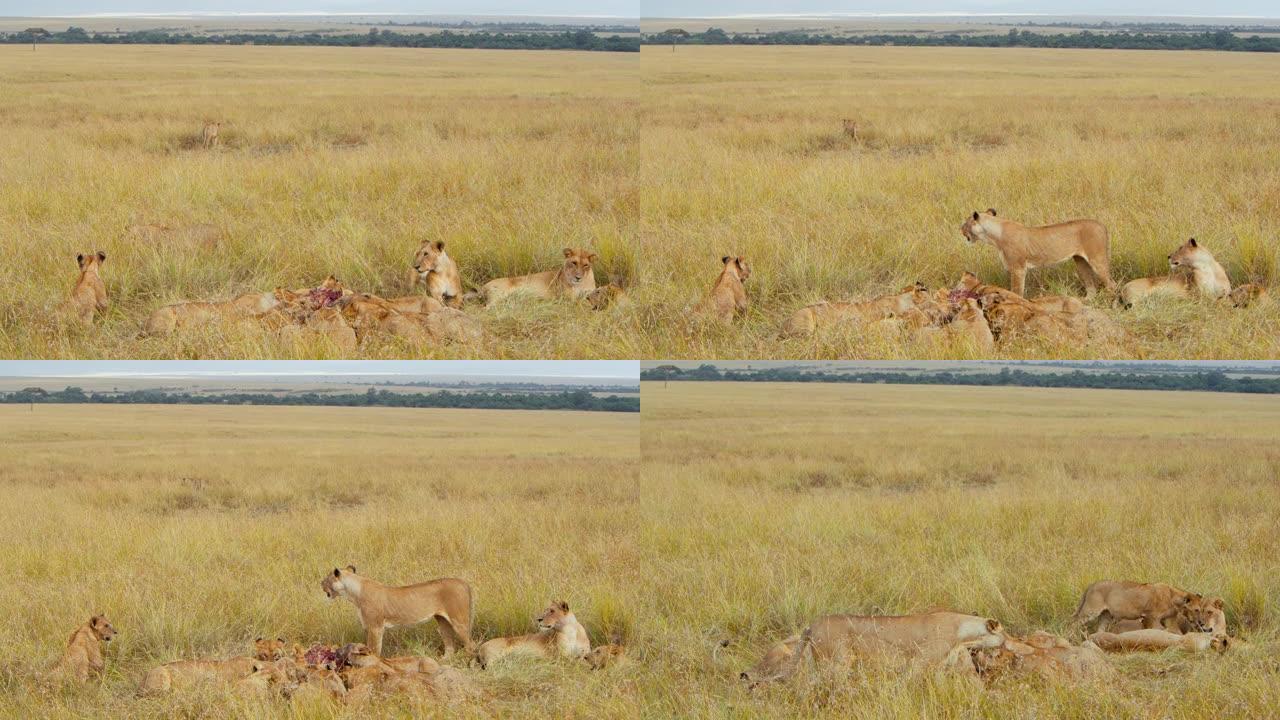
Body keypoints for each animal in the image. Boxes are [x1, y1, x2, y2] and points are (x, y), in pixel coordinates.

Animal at [322, 563, 478, 661]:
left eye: (326, 579)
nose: (320, 583)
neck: (354, 594)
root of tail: (464, 582)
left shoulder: (375, 627)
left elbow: (374, 649)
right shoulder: (370, 627)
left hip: (459, 621)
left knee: (471, 645)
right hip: (443, 621)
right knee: (450, 645)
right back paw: (444, 660)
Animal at [957, 207, 1116, 297]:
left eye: (965, 223)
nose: (960, 229)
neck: (994, 236)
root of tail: (1102, 224)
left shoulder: (1018, 268)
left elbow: (1016, 291)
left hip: (1097, 259)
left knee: (1112, 284)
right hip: (1080, 261)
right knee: (1091, 288)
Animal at [1064, 579, 1213, 630]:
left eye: (1202, 610)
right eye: (1196, 610)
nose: (1201, 622)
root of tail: (1091, 585)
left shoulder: (1169, 619)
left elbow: (1175, 632)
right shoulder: (1151, 617)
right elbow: (1156, 630)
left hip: (1105, 615)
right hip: (1091, 611)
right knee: (1072, 622)